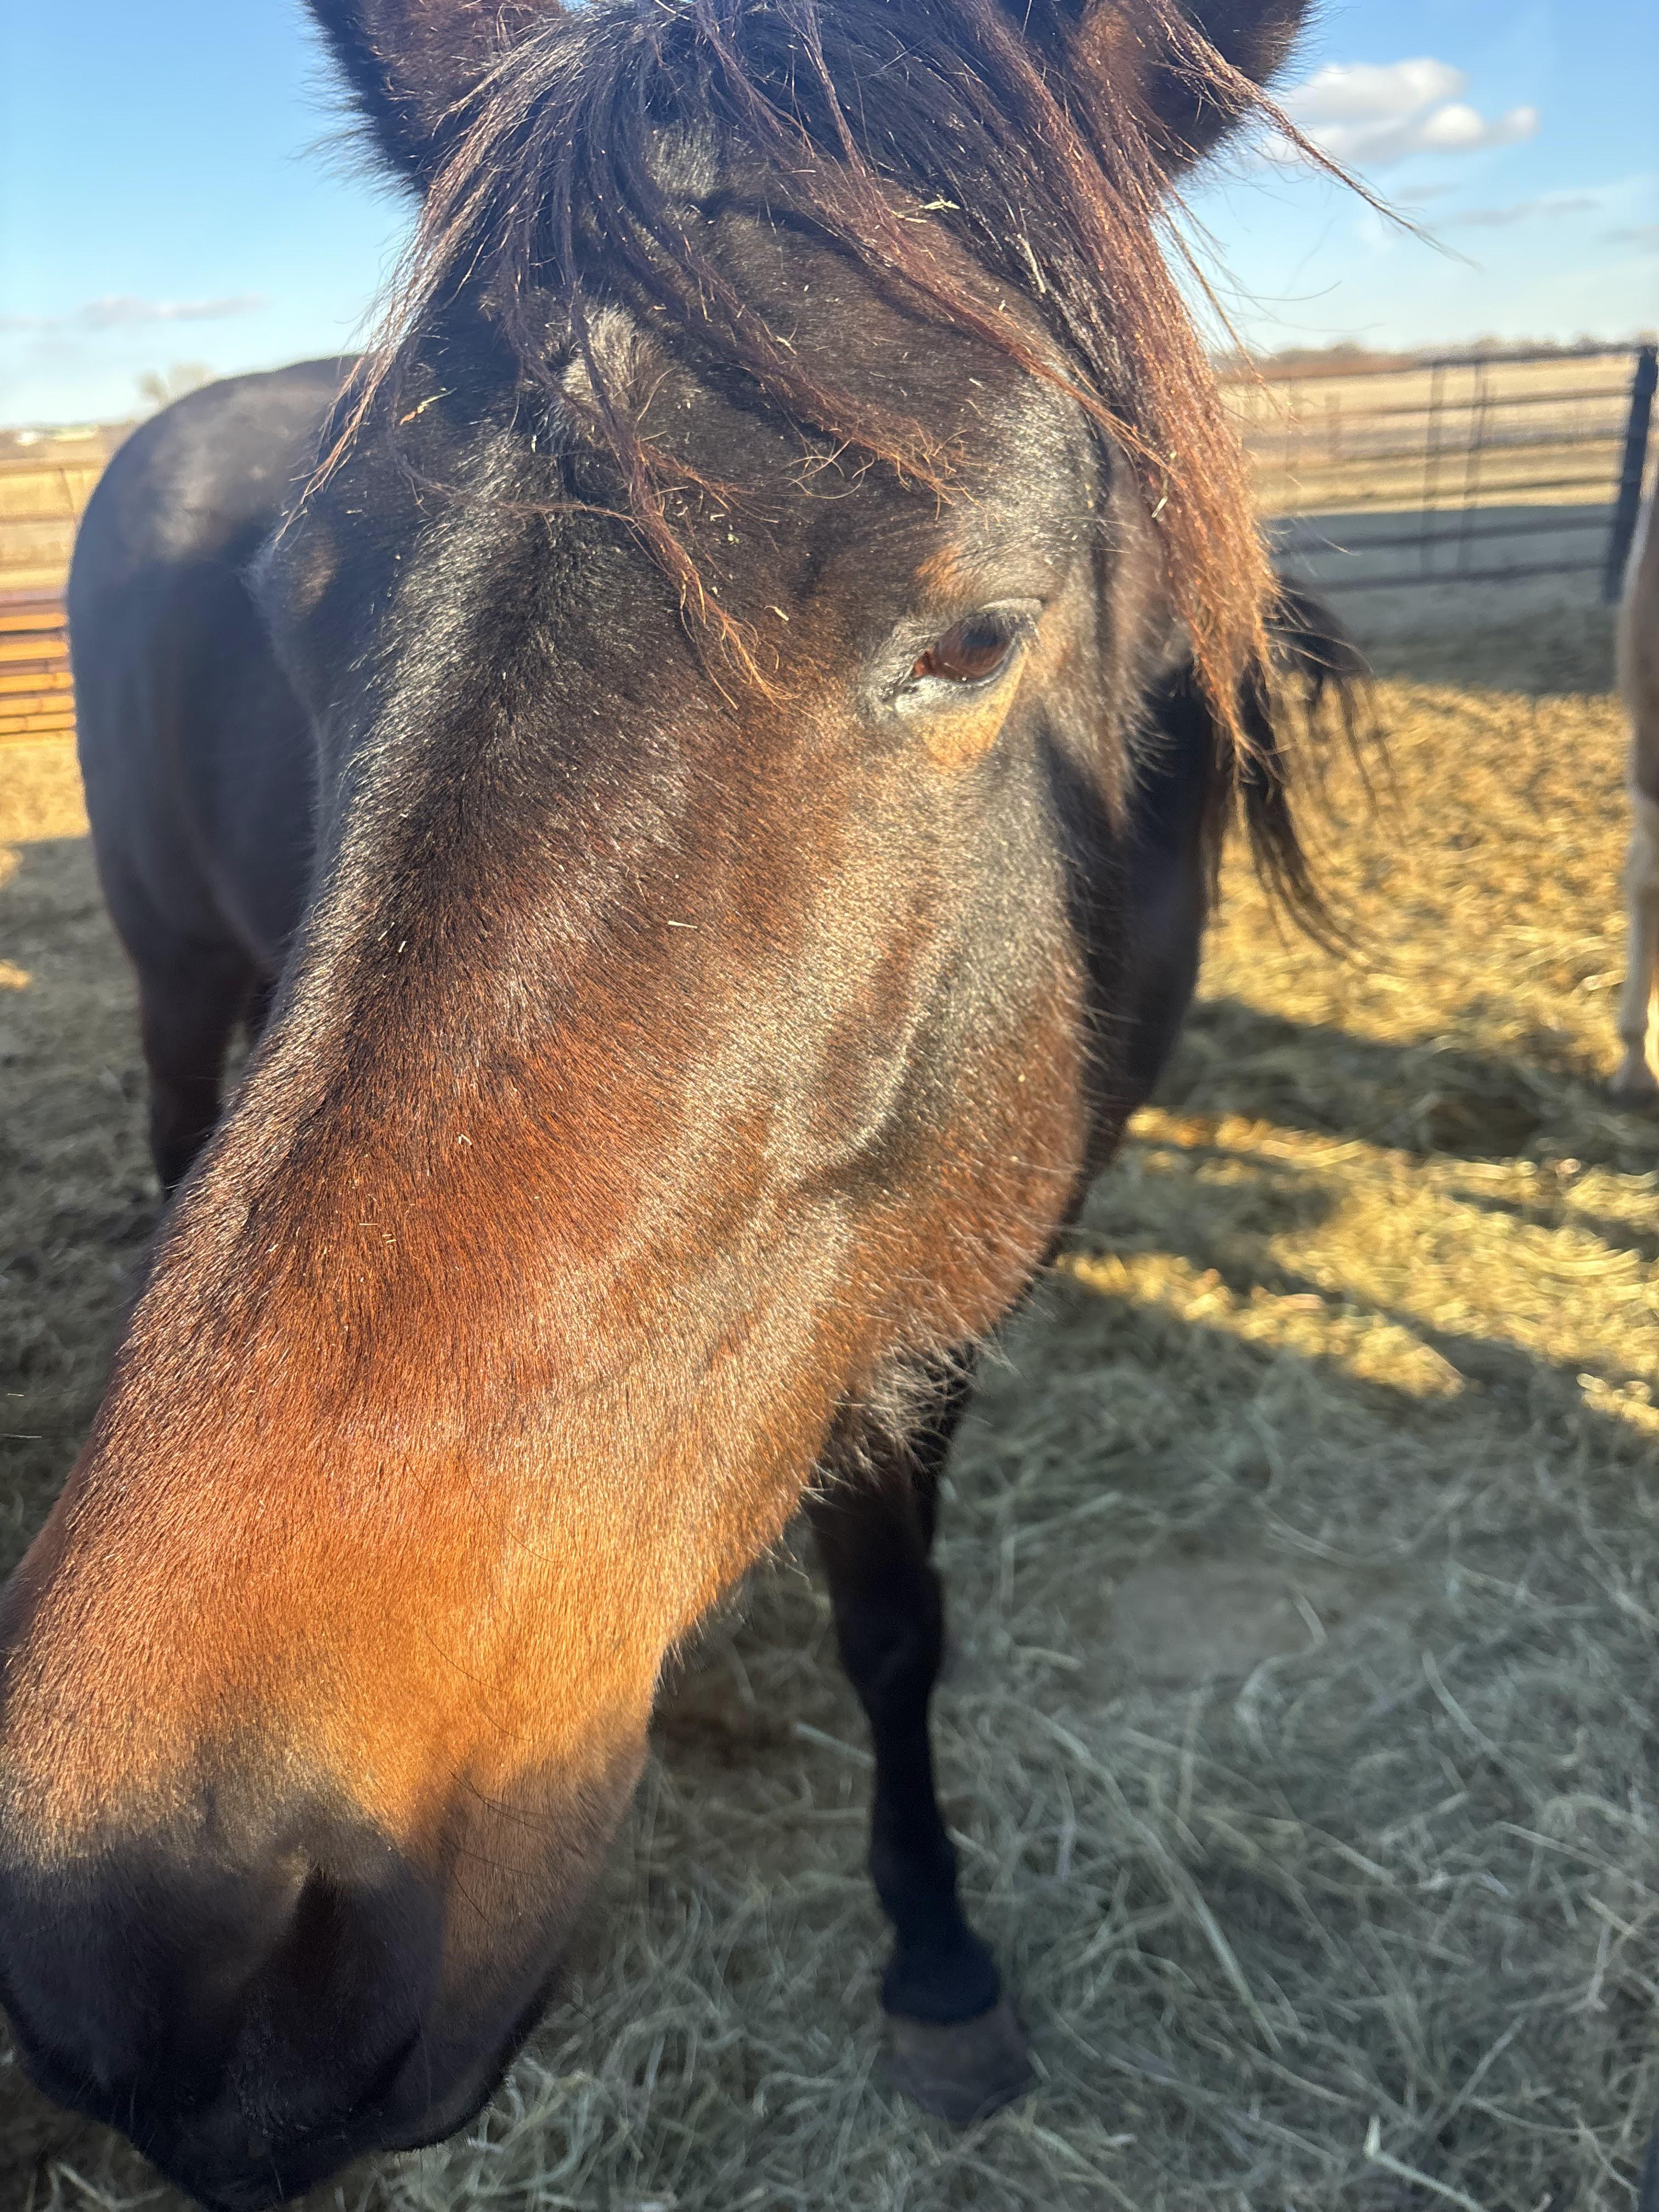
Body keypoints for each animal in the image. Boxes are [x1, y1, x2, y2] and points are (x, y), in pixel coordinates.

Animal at [0, 2, 1360, 2203]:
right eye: (300, 601)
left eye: (975, 630)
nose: (146, 1925)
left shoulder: (931, 1299)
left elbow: (894, 1627)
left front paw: (936, 1960)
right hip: (174, 971)